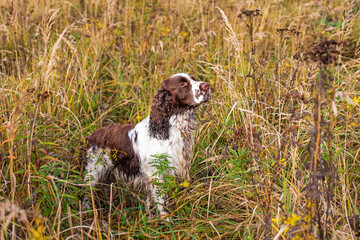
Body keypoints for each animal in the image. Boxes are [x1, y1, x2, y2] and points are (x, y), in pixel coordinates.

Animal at [83, 73, 210, 218]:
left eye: (193, 78)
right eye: (182, 84)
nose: (207, 85)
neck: (169, 128)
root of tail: (91, 136)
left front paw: (149, 216)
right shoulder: (156, 172)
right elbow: (161, 201)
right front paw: (165, 220)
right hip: (94, 170)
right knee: (86, 192)